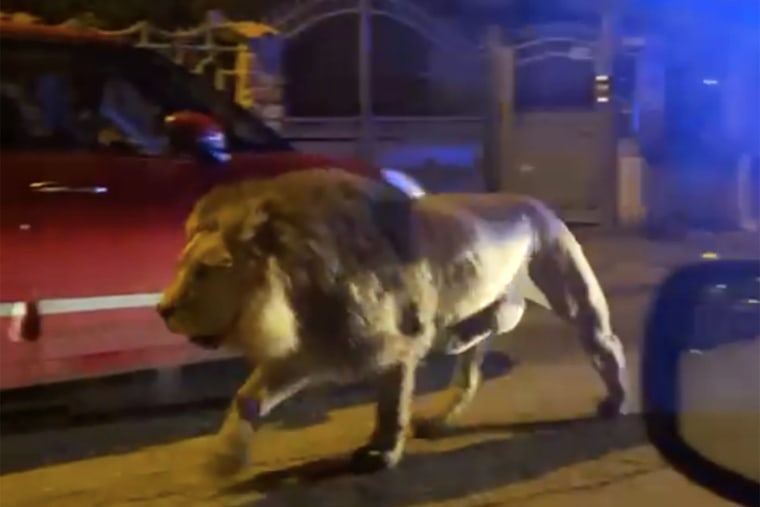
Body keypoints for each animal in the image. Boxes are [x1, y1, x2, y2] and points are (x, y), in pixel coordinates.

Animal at [157, 168, 628, 476]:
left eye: (205, 272)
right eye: (180, 266)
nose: (161, 310)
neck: (298, 287)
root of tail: (535, 203)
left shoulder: (394, 347)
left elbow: (390, 407)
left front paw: (379, 454)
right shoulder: (306, 352)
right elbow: (247, 398)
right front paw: (223, 460)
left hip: (569, 288)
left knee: (605, 344)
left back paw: (616, 402)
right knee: (480, 357)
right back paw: (448, 383)